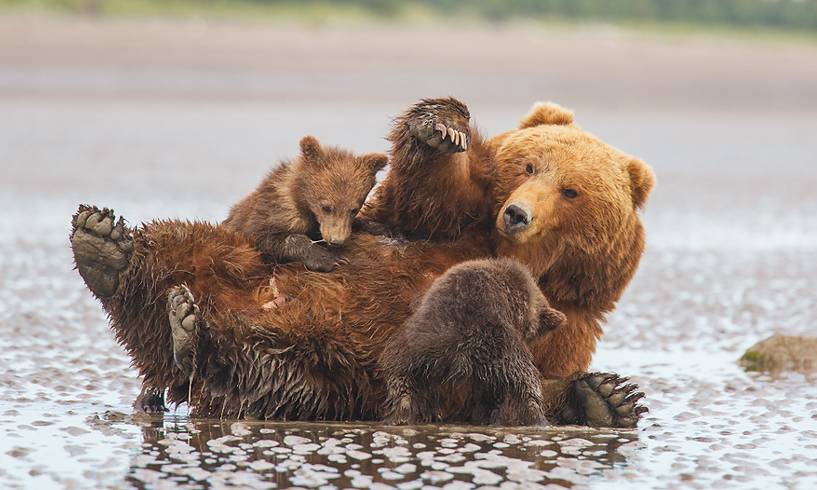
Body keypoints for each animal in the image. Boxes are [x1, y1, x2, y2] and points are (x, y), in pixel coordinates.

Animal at [73, 97, 652, 426]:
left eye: (571, 191)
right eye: (530, 165)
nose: (517, 213)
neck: (513, 253)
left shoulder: (568, 319)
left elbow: (504, 387)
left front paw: (606, 396)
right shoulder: (442, 222)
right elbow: (429, 194)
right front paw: (440, 126)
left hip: (308, 375)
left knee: (245, 372)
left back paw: (189, 334)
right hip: (236, 257)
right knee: (181, 245)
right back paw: (107, 247)